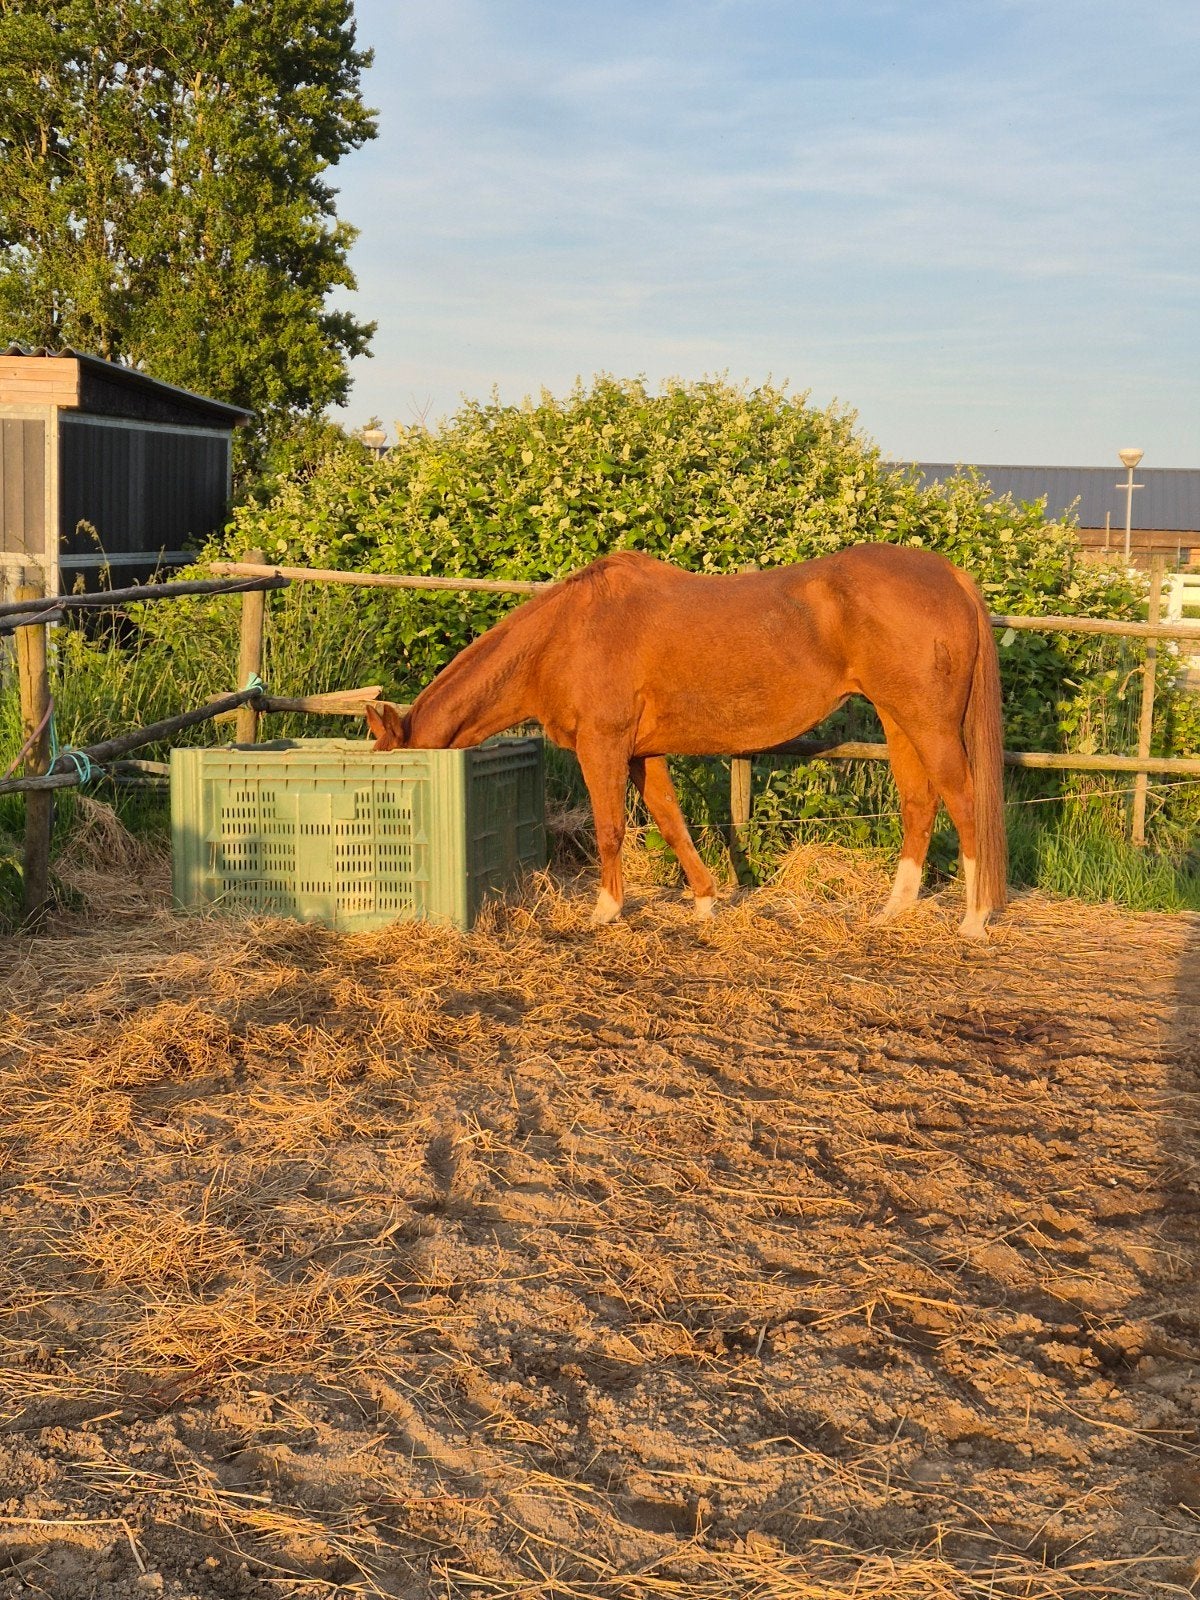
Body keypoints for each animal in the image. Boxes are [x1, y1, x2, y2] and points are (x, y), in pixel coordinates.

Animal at [364, 544, 1008, 938]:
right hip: (898, 720)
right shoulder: (643, 753)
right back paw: (892, 911)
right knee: (919, 804)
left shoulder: (603, 746)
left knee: (963, 800)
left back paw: (974, 919)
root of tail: (949, 576)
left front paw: (604, 911)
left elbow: (610, 829)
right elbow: (672, 821)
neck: (565, 636)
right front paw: (704, 901)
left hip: (929, 723)